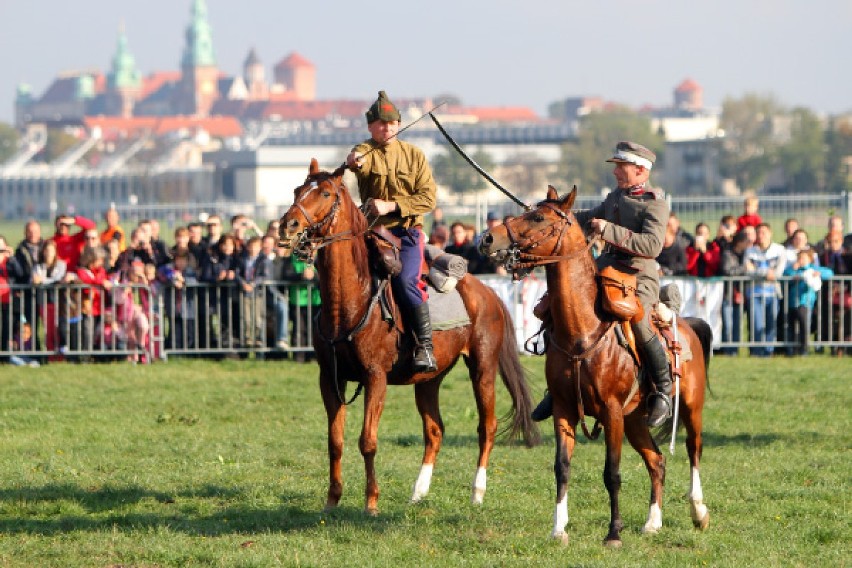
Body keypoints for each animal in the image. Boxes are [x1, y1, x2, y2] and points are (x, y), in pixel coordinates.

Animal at [278, 159, 540, 516]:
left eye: (326, 193)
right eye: (297, 189)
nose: (287, 225)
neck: (351, 297)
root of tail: (486, 292)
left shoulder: (375, 377)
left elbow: (367, 441)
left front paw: (371, 502)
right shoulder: (330, 378)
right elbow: (335, 441)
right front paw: (332, 500)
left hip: (483, 368)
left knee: (487, 426)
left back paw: (477, 492)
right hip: (429, 379)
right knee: (435, 431)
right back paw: (419, 492)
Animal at [480, 186, 712, 544]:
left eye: (538, 217)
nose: (489, 238)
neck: (582, 330)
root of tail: (687, 323)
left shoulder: (611, 412)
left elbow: (612, 473)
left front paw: (614, 532)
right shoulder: (564, 409)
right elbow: (562, 467)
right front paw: (559, 529)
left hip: (689, 407)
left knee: (693, 450)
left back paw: (698, 512)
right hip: (635, 420)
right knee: (657, 461)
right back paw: (652, 522)